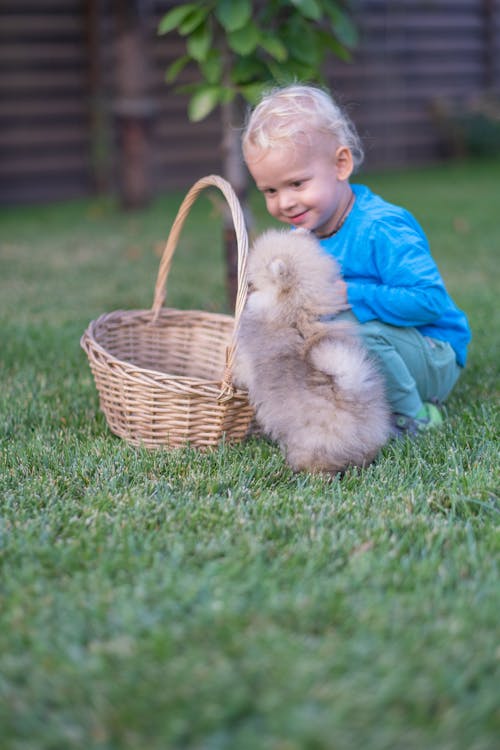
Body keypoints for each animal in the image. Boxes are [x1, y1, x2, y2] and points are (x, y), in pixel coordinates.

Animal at [234, 229, 390, 476]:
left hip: (314, 442)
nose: (246, 289)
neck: (297, 315)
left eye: (253, 284)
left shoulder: (247, 358)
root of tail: (350, 397)